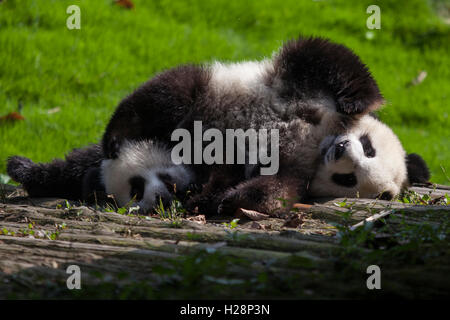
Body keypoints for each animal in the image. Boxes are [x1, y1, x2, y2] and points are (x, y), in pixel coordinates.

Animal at [5, 37, 430, 215]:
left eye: (349, 179)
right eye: (367, 146)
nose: (341, 150)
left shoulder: (291, 171)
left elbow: (268, 192)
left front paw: (219, 201)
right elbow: (332, 58)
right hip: (241, 86)